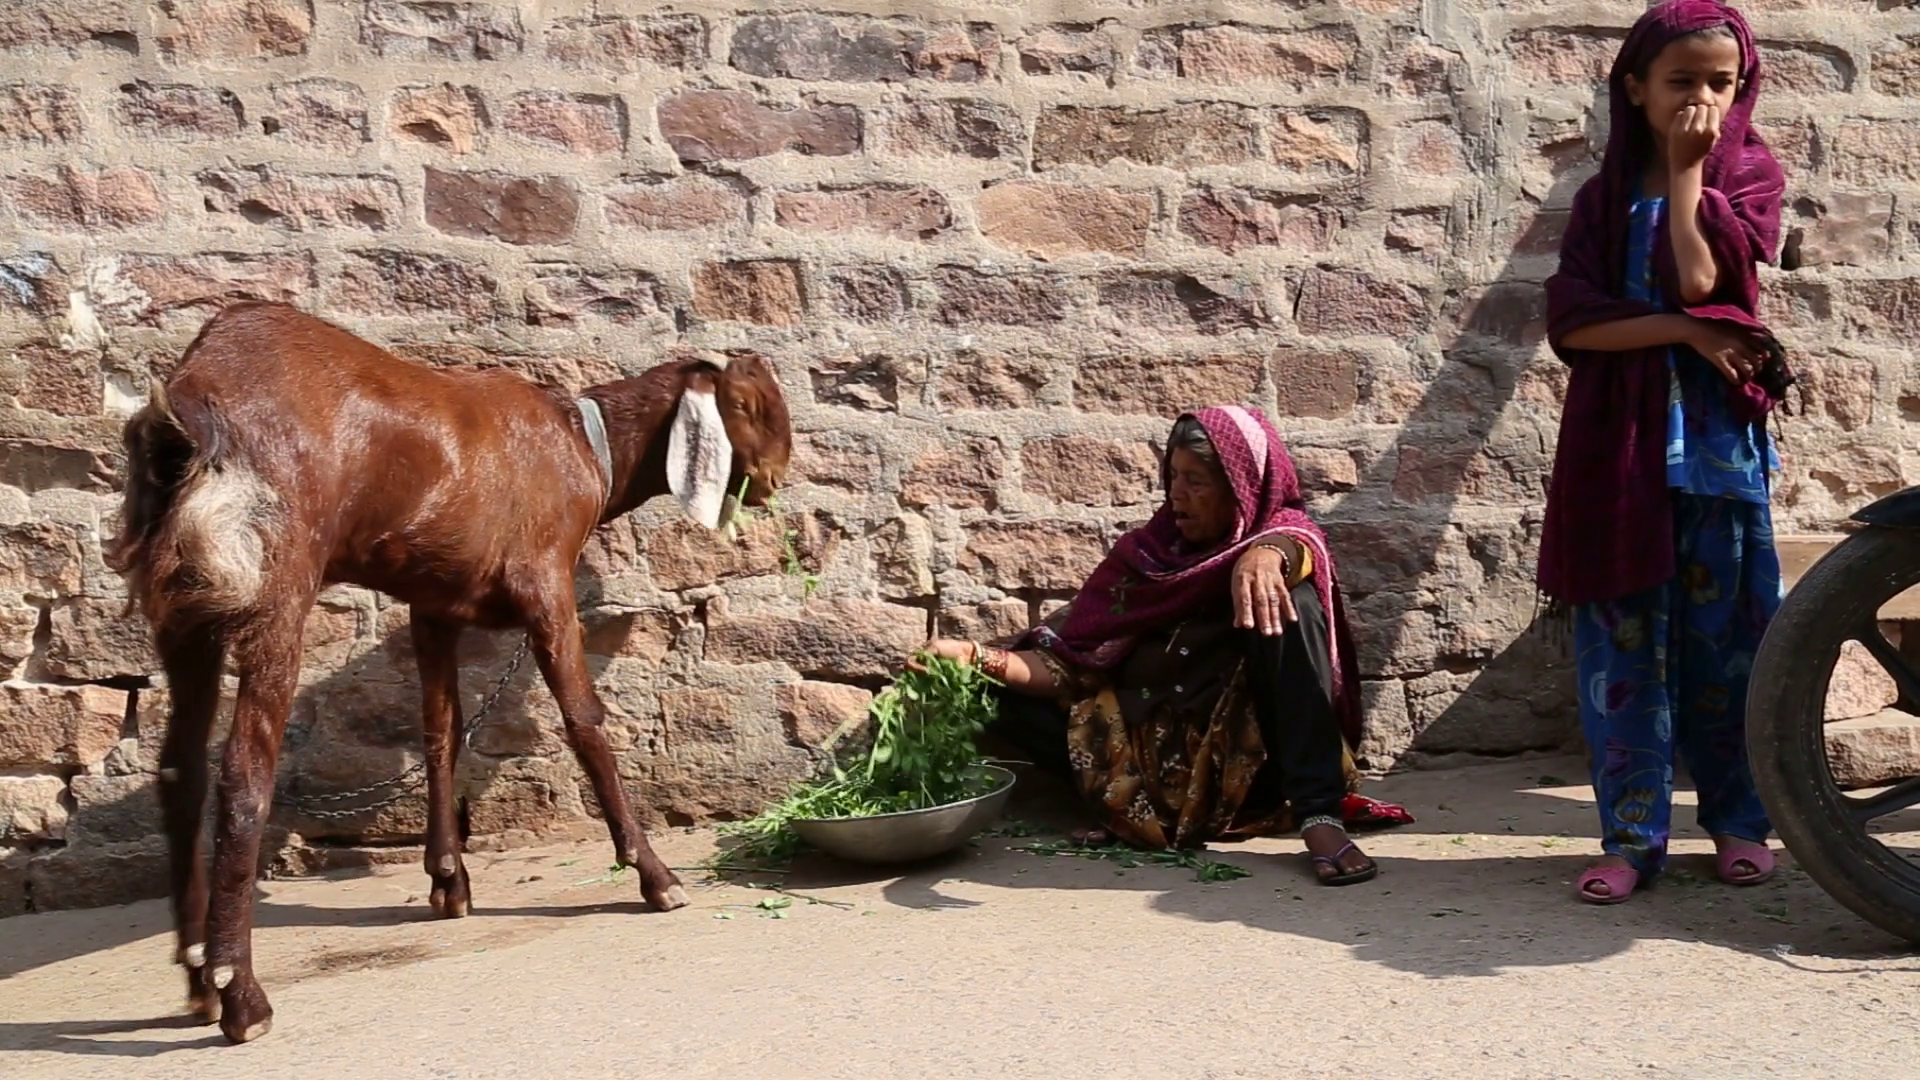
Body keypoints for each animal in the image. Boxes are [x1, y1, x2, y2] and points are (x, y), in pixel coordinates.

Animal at [107, 301, 792, 1043]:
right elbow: (584, 721)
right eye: (748, 404)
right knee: (242, 775)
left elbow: (441, 730)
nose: (777, 478)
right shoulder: (545, 581)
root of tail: (190, 405)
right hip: (273, 583)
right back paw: (241, 998)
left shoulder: (433, 604)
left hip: (181, 606)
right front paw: (655, 876)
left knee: (180, 770)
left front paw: (448, 881)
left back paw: (199, 979)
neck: (585, 447)